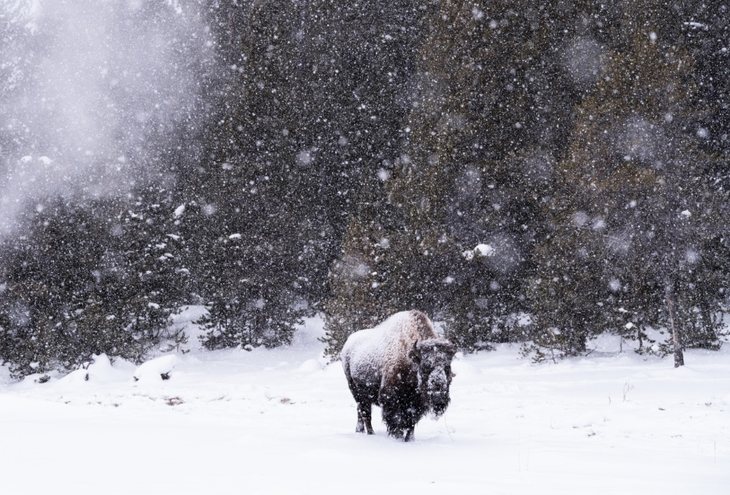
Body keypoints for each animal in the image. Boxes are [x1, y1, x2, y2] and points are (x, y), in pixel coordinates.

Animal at [338, 310, 452, 442]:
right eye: (425, 367)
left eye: (447, 367)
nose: (439, 397)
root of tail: (348, 343)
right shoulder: (390, 398)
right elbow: (396, 421)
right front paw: (398, 438)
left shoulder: (415, 403)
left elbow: (411, 423)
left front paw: (409, 439)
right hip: (356, 390)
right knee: (365, 413)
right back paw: (371, 433)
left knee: (361, 412)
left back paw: (359, 430)